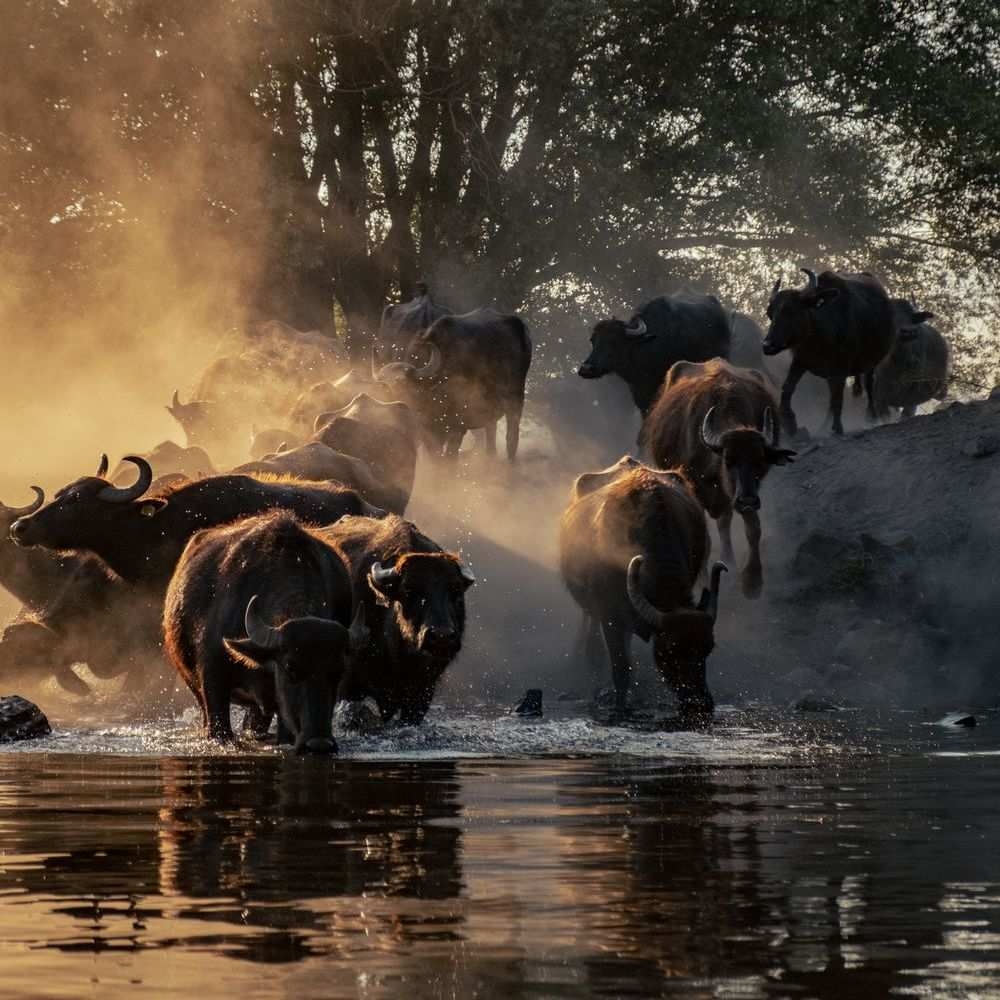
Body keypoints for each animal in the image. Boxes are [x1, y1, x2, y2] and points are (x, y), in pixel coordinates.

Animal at [374, 308, 532, 461]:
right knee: (491, 436)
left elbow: (451, 458)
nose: (390, 401)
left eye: (400, 381)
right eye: (382, 384)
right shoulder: (428, 431)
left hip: (515, 399)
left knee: (512, 437)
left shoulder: (457, 428)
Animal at [559, 460, 726, 723]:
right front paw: (620, 708)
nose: (700, 705)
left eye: (708, 648)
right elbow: (620, 669)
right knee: (593, 634)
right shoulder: (611, 618)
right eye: (669, 653)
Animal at [641, 359, 795, 598]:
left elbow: (753, 528)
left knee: (725, 521)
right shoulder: (698, 487)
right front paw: (702, 581)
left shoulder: (742, 493)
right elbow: (703, 536)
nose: (747, 500)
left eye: (759, 461)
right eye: (728, 461)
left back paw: (730, 561)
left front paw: (752, 581)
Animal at [762, 268, 896, 436]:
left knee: (869, 385)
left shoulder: (841, 368)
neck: (819, 337)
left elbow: (838, 398)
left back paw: (871, 417)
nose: (767, 345)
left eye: (790, 311)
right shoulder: (800, 361)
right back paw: (824, 426)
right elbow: (787, 388)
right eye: (770, 314)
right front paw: (789, 422)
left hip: (871, 362)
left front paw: (837, 428)